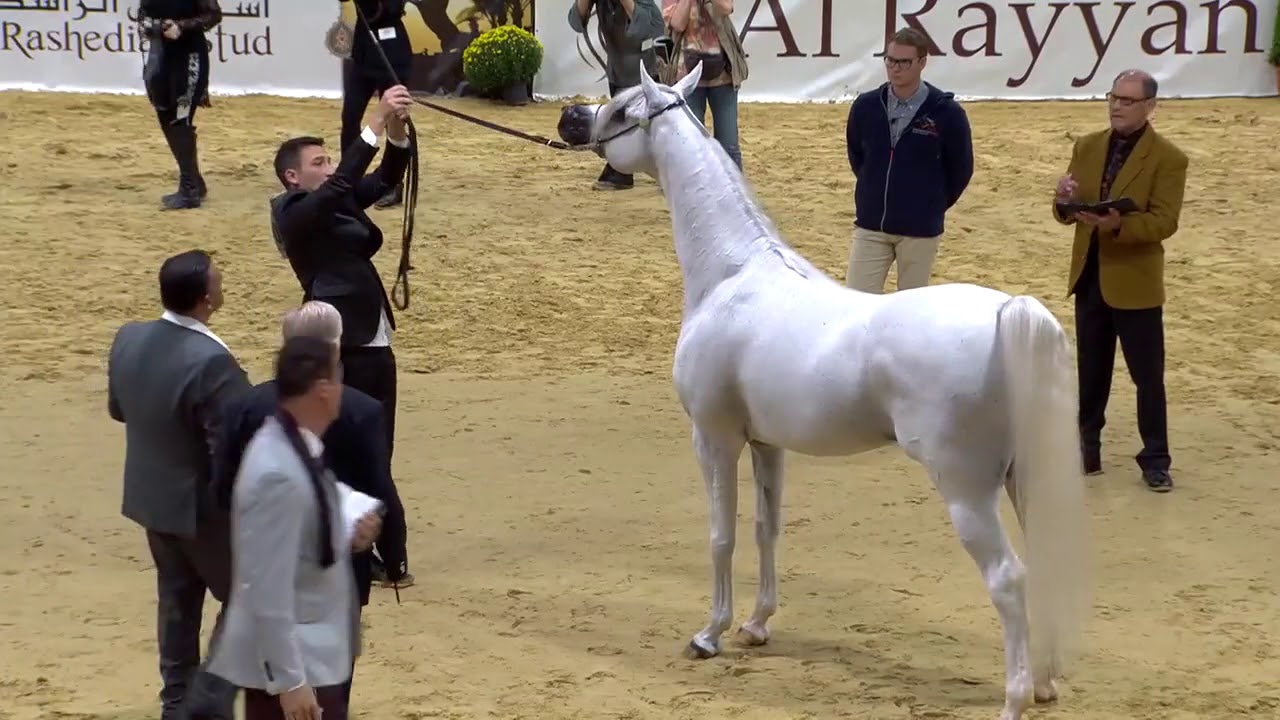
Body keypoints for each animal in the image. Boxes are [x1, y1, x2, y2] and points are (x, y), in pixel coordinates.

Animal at [554, 64, 1093, 720]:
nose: (570, 119)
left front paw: (709, 634)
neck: (733, 274)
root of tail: (1009, 311)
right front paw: (757, 625)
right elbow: (766, 528)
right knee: (1040, 563)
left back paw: (1014, 699)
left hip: (966, 490)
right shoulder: (766, 444)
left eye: (623, 107)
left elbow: (720, 534)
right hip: (1020, 477)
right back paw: (1043, 684)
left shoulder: (714, 438)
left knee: (1008, 579)